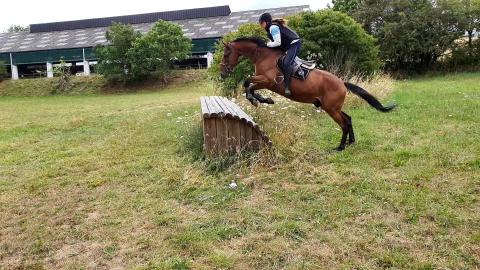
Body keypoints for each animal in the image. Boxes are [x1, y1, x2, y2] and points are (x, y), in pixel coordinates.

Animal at [219, 37, 396, 152]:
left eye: (226, 54)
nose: (222, 73)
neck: (262, 55)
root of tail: (342, 83)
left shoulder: (268, 81)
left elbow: (247, 84)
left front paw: (259, 100)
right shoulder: (263, 81)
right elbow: (248, 85)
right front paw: (264, 100)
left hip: (331, 109)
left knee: (344, 123)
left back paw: (340, 147)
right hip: (332, 107)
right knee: (349, 118)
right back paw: (351, 142)